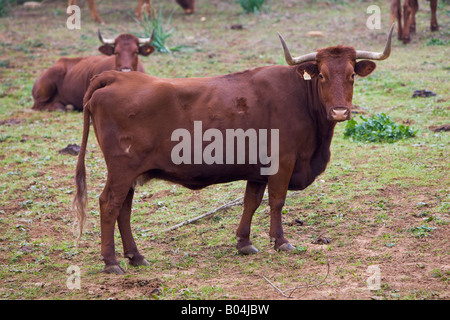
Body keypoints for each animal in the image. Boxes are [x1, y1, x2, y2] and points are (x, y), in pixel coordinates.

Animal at [74, 25, 394, 276]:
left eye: (352, 75)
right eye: (323, 76)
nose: (340, 111)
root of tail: (116, 77)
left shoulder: (258, 169)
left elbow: (251, 202)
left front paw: (244, 243)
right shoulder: (283, 161)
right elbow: (277, 201)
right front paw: (281, 242)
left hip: (131, 173)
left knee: (124, 209)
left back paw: (136, 256)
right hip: (121, 170)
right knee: (109, 205)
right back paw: (111, 262)